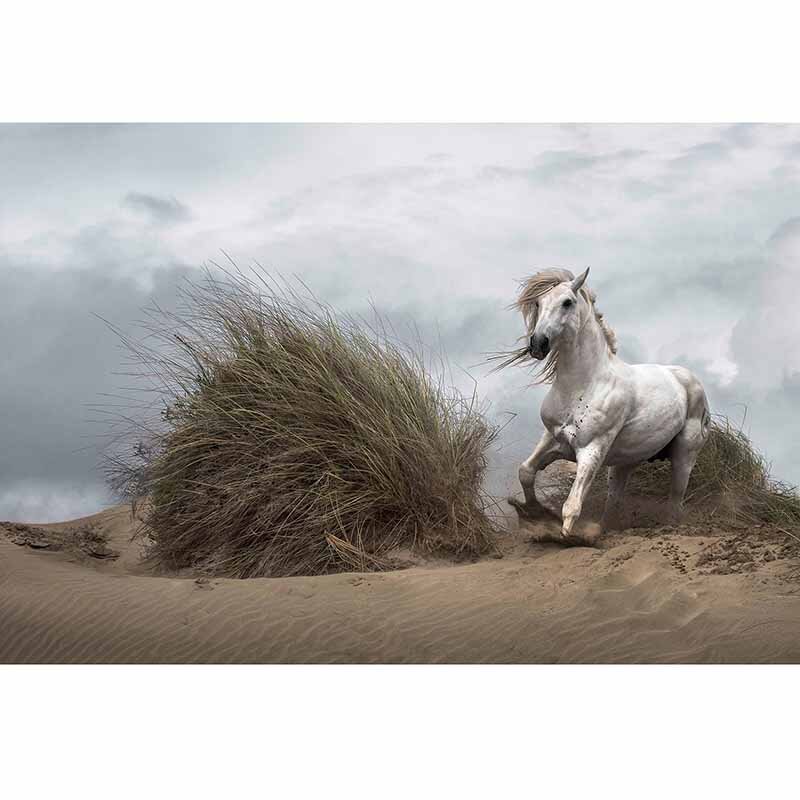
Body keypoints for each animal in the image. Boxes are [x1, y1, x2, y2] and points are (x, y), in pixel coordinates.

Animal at [506, 267, 710, 545]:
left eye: (567, 302)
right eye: (538, 303)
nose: (538, 344)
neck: (583, 383)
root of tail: (689, 380)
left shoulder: (591, 449)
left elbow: (572, 505)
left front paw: (565, 536)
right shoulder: (552, 437)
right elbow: (526, 471)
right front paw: (535, 516)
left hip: (684, 458)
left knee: (675, 505)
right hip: (624, 464)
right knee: (614, 503)